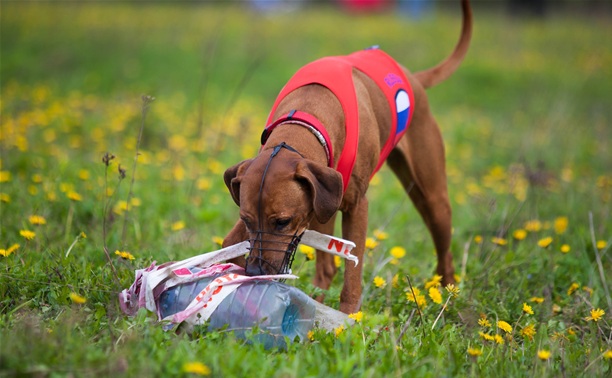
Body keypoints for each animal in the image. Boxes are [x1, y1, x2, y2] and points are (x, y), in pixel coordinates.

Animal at [224, 0, 474, 314]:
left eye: (282, 222)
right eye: (246, 220)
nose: (256, 272)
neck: (306, 117)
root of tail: (414, 78)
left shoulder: (356, 207)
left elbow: (352, 278)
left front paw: (349, 318)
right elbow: (229, 242)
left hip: (433, 198)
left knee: (445, 255)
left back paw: (448, 301)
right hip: (322, 206)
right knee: (327, 267)